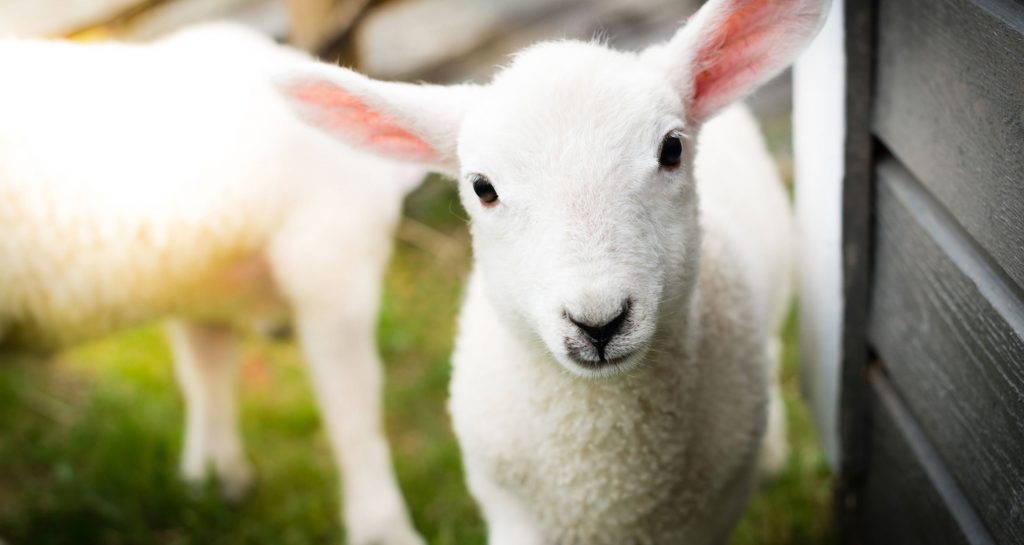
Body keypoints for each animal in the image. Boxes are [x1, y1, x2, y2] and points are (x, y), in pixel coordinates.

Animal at [0, 24, 427, 545]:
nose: (280, 332)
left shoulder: (200, 289)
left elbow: (207, 374)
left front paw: (212, 478)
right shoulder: (332, 266)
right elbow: (354, 412)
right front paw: (384, 529)